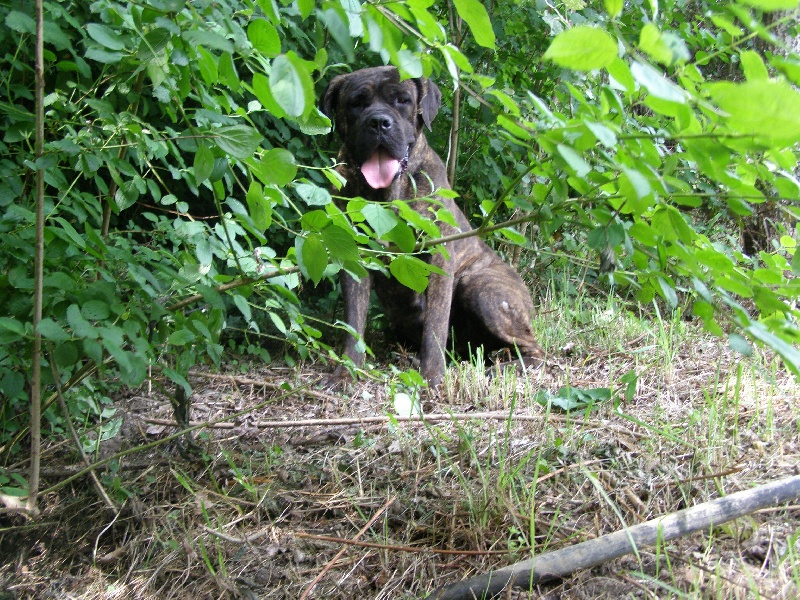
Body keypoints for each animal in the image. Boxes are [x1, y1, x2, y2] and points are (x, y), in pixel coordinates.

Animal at [320, 65, 544, 384]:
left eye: (402, 100)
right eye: (356, 103)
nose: (379, 122)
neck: (388, 195)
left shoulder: (439, 257)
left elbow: (435, 326)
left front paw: (432, 375)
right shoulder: (355, 254)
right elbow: (354, 322)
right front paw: (346, 371)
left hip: (481, 288)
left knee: (534, 349)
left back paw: (500, 368)